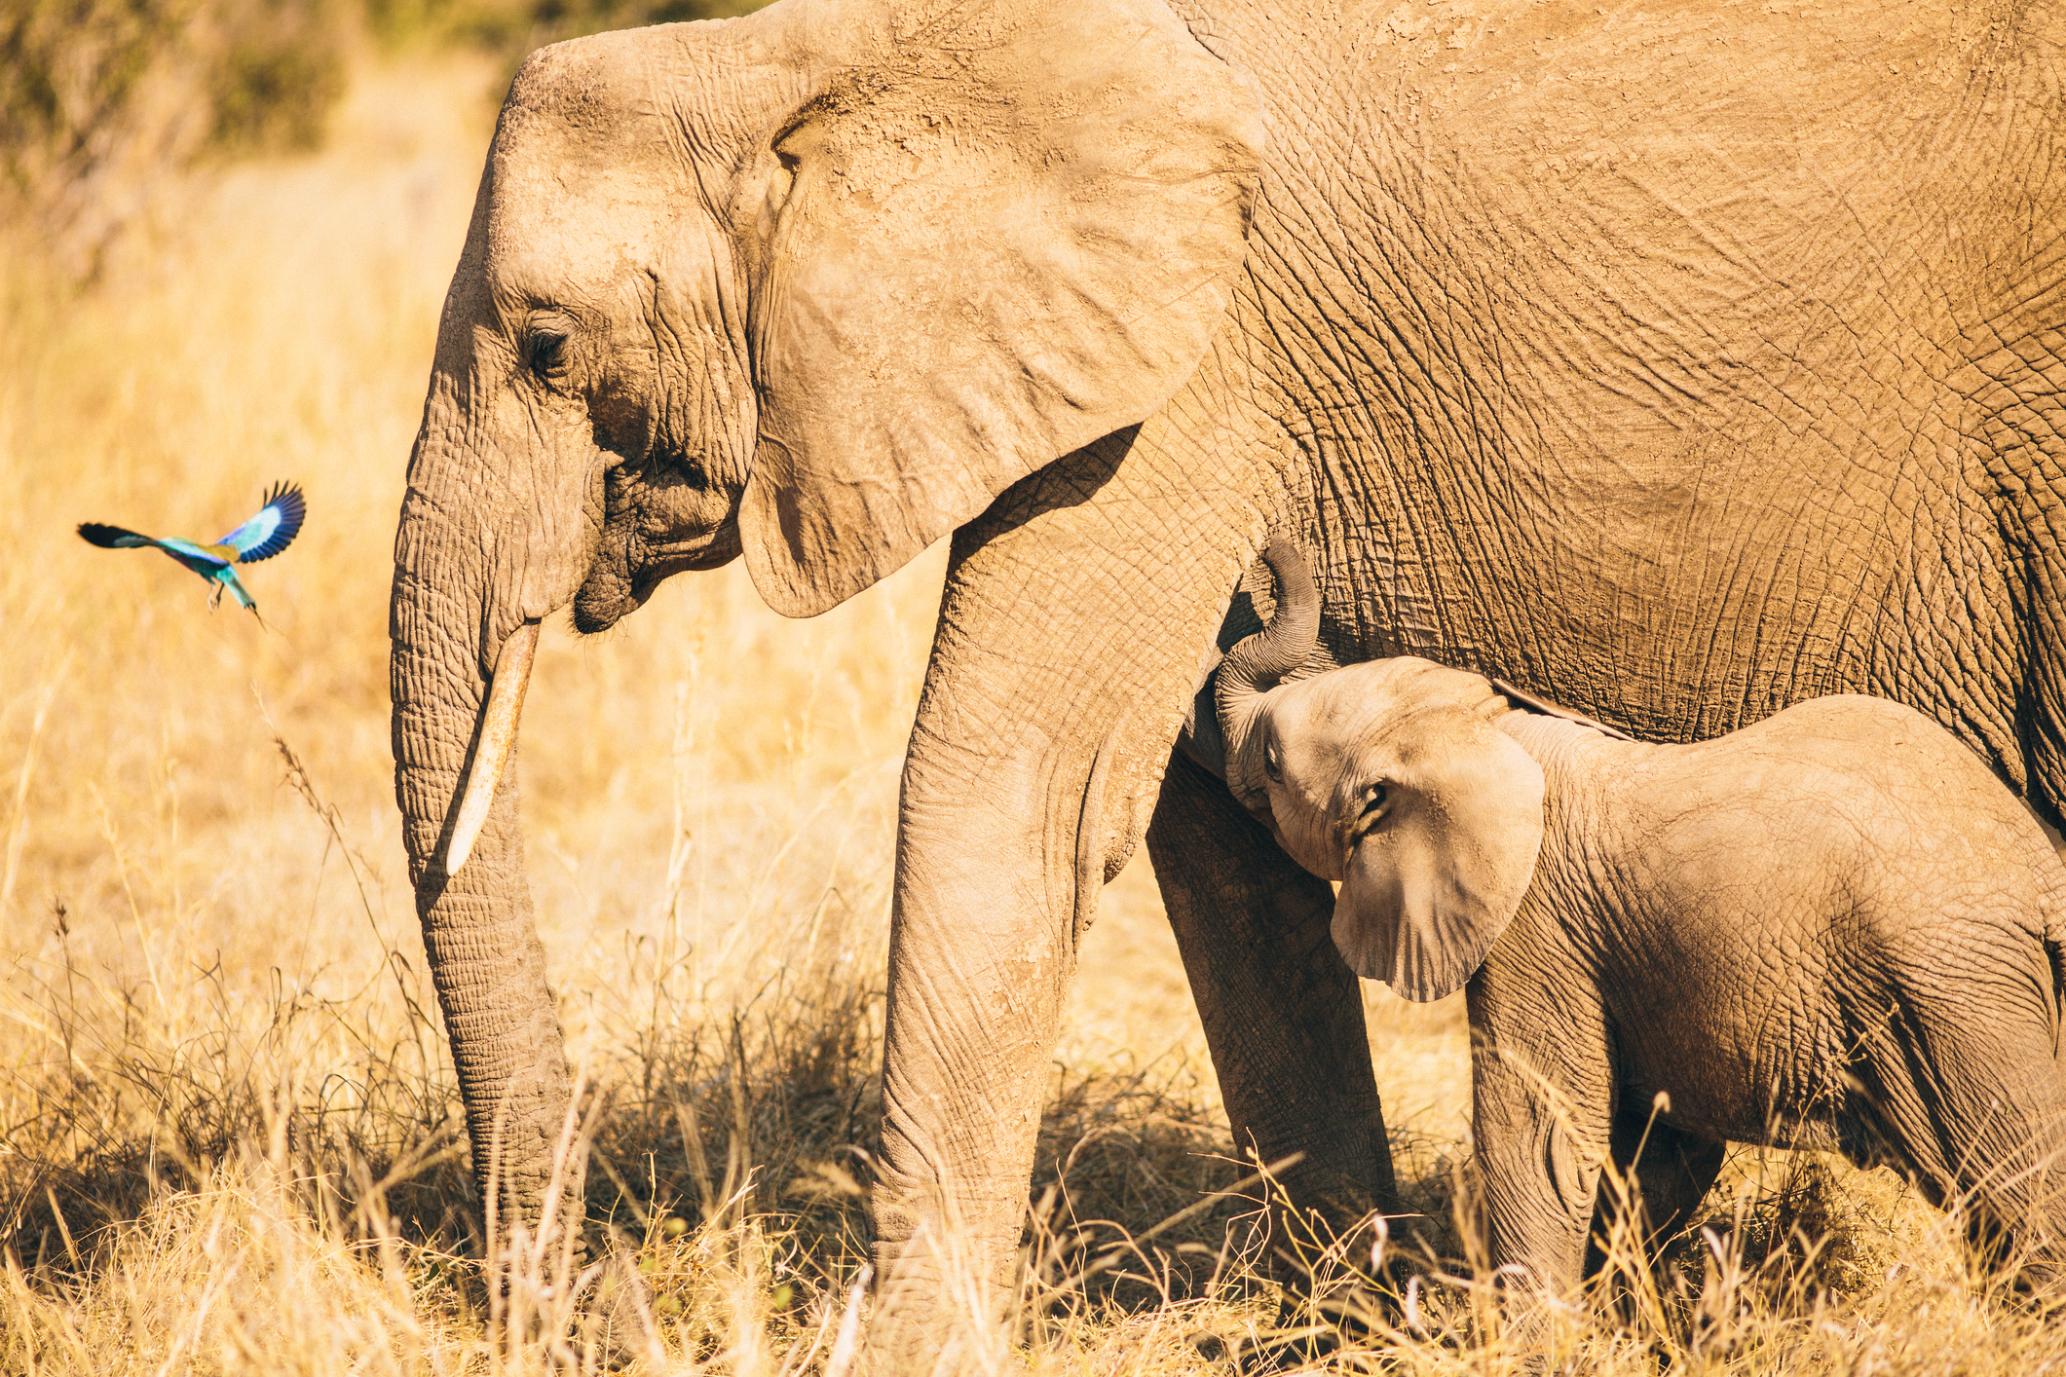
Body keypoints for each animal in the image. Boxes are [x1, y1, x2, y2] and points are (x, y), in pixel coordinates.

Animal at [1214, 540, 2066, 1296]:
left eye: (1274, 764)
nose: (1267, 548)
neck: (1486, 727)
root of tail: (2043, 876)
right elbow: (1654, 1152)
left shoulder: (1540, 931)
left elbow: (1541, 1138)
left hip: (1954, 994)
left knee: (2020, 1188)